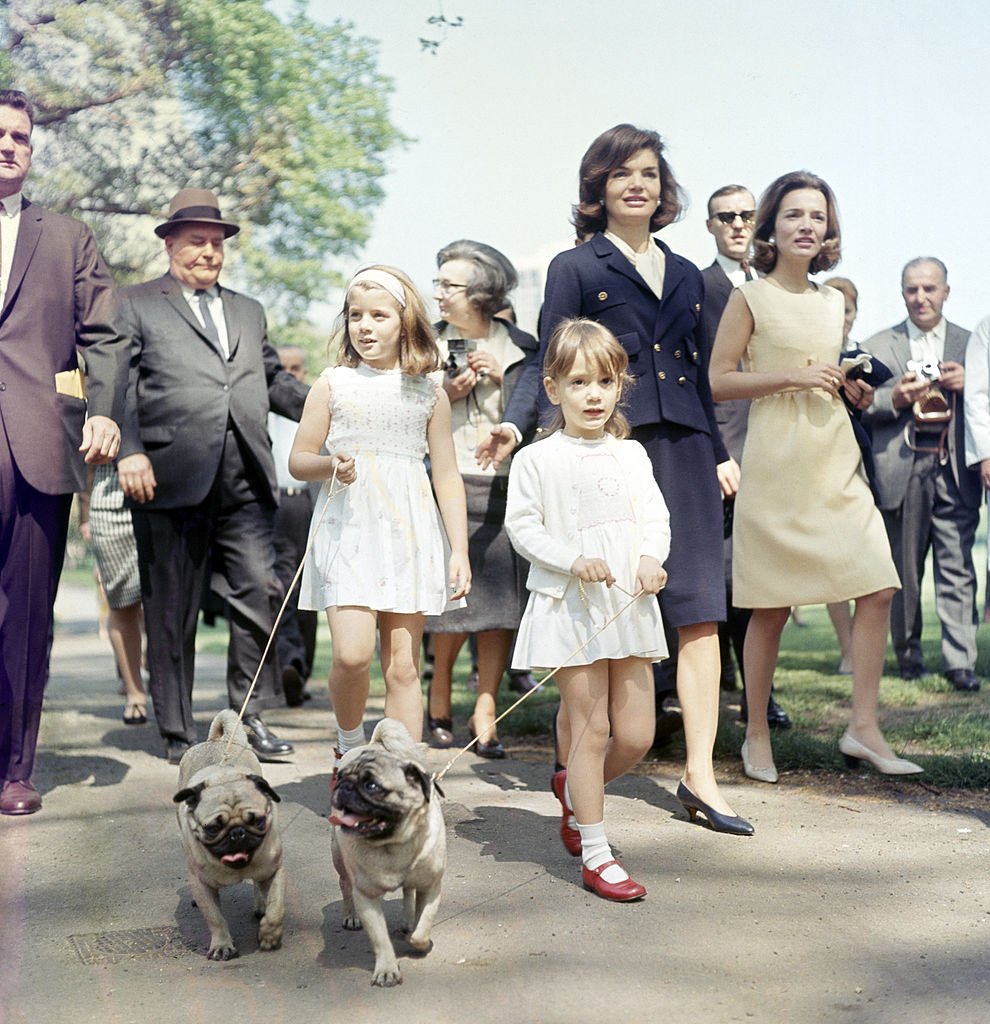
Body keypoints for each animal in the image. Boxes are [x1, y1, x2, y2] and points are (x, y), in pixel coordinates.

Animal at [171, 712, 282, 958]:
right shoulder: (203, 886)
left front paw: (269, 934)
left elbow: (275, 908)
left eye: (259, 821)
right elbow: (215, 919)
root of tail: (215, 740)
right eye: (212, 828)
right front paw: (222, 945)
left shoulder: (275, 871)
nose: (237, 832)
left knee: (261, 888)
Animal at [331, 716, 446, 987]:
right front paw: (386, 970)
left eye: (371, 786)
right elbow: (380, 939)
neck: (393, 844)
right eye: (341, 777)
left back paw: (408, 921)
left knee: (408, 892)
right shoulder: (367, 897)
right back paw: (351, 916)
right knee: (345, 885)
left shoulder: (431, 887)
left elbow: (424, 923)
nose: (344, 786)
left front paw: (419, 941)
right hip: (339, 859)